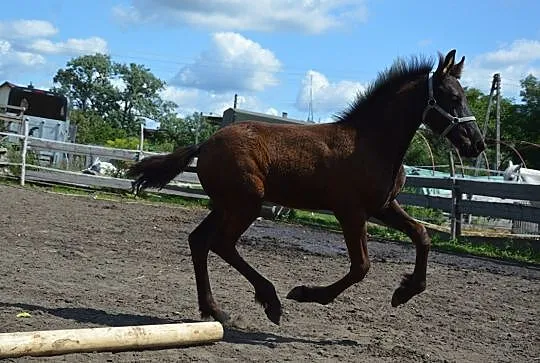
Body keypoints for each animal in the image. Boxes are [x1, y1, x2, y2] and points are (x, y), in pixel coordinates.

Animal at [126, 49, 486, 326]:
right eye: (454, 97)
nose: (477, 144)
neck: (370, 143)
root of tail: (206, 143)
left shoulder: (384, 206)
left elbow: (422, 235)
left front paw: (404, 292)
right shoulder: (350, 211)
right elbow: (361, 266)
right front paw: (307, 293)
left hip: (226, 205)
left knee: (200, 241)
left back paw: (216, 311)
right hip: (246, 204)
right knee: (222, 244)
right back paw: (270, 301)